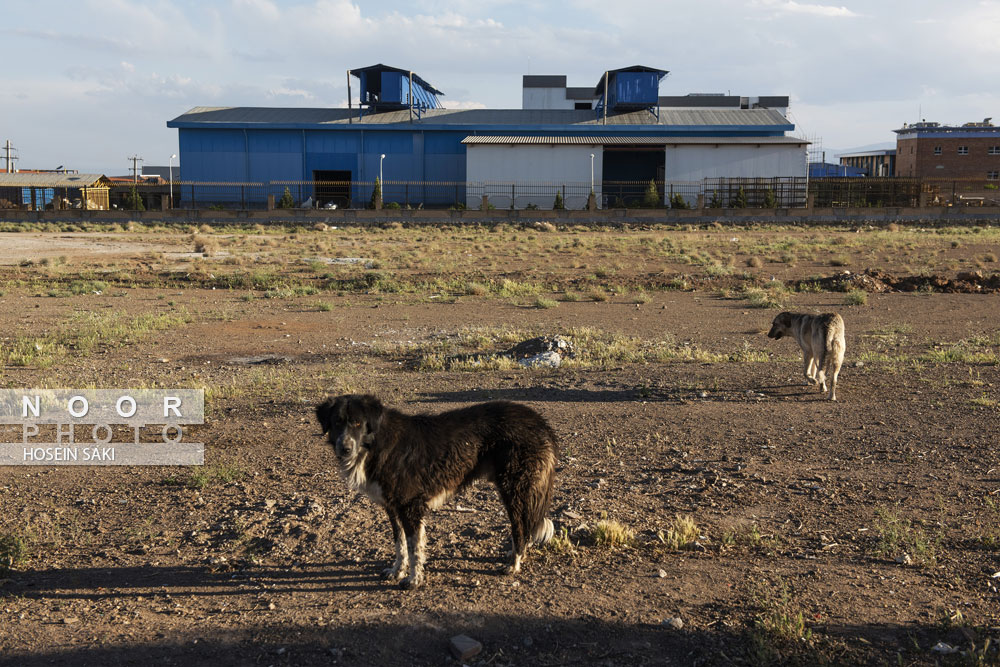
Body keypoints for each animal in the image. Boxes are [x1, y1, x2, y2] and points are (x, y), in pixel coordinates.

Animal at [316, 396, 560, 588]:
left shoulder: (411, 506)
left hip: (514, 489)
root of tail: (539, 421)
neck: (378, 443)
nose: (344, 448)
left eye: (357, 423)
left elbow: (414, 547)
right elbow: (400, 544)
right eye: (336, 422)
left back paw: (514, 564)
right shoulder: (392, 507)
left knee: (521, 527)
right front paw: (397, 571)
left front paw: (414, 580)